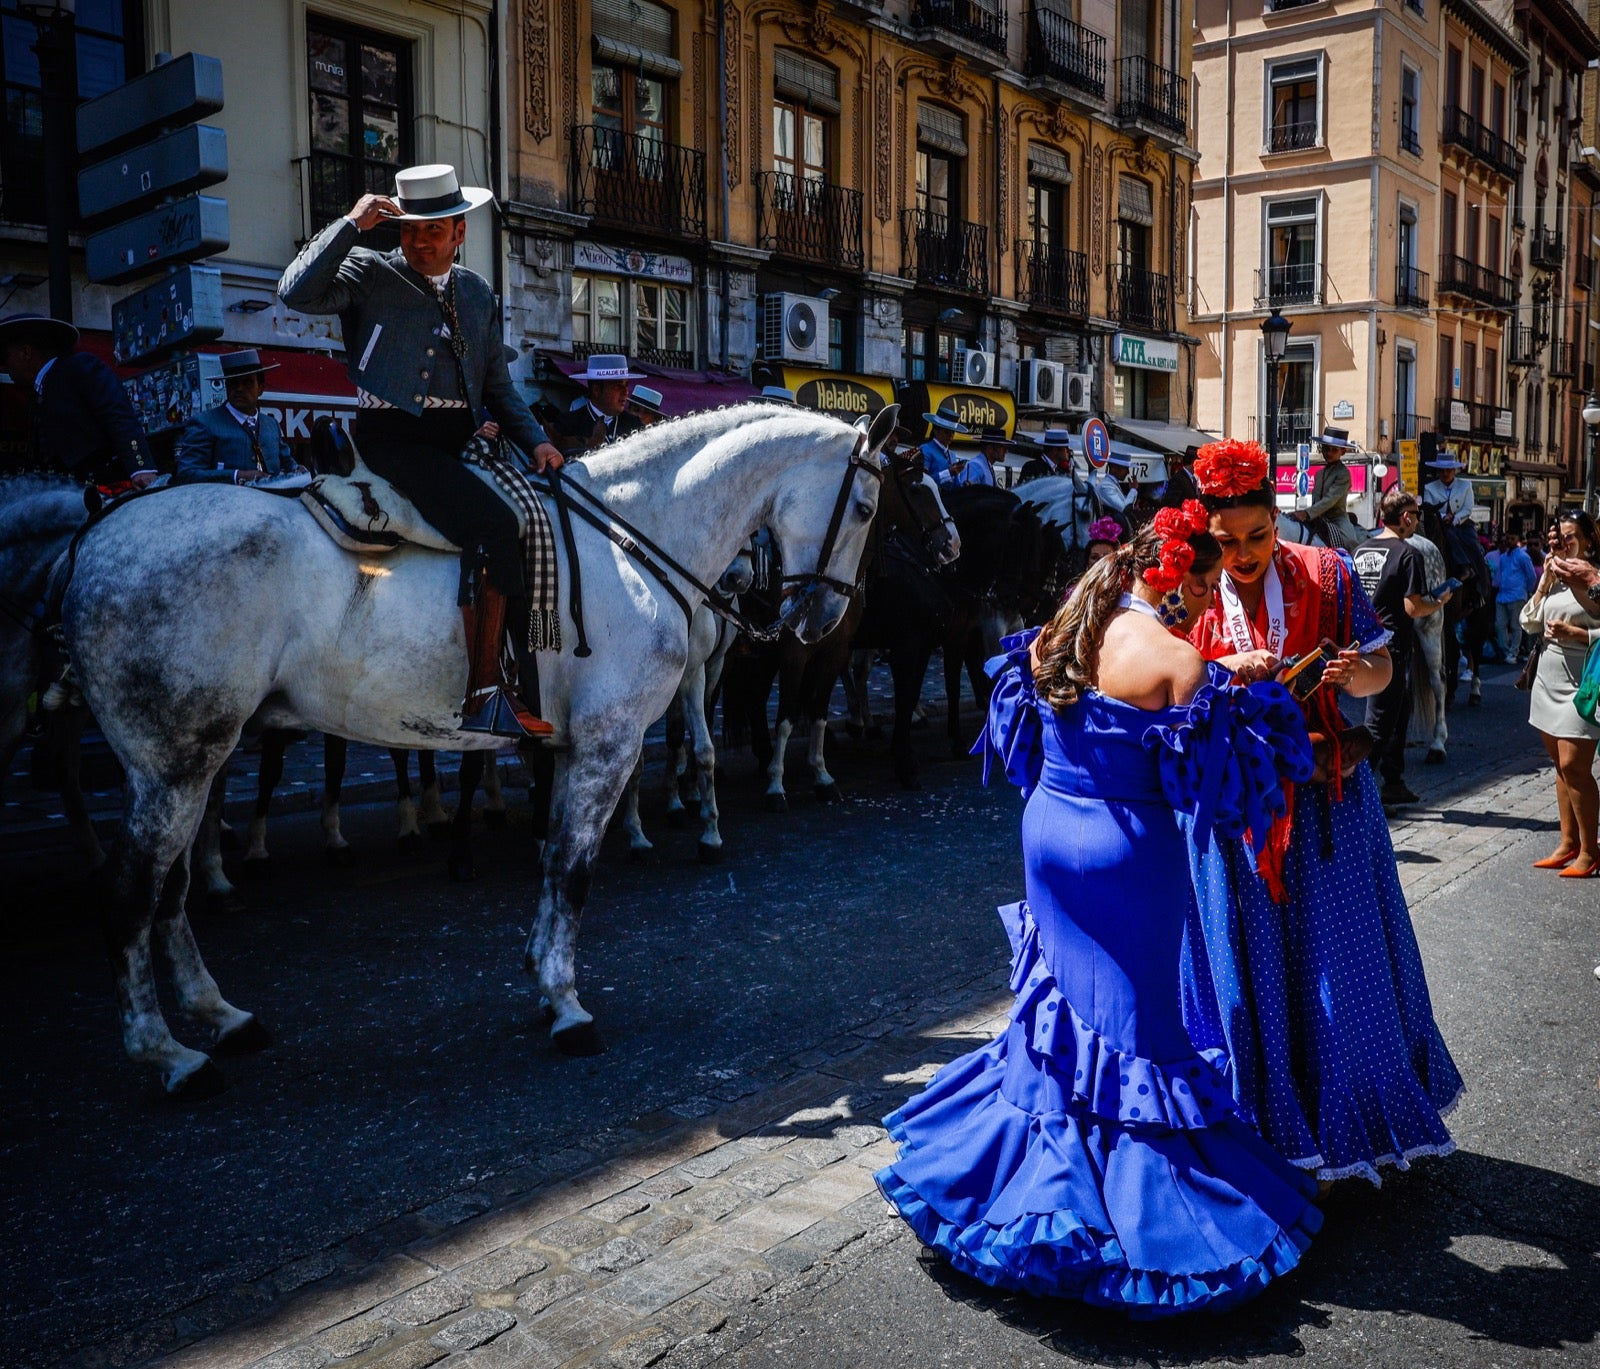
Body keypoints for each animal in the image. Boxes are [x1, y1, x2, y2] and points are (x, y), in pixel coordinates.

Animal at [62, 401, 896, 1093]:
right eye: (864, 507)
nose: (823, 620)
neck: (629, 539)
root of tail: (98, 536)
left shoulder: (573, 747)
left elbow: (555, 860)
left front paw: (543, 980)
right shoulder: (608, 742)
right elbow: (574, 870)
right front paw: (567, 1005)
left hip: (187, 762)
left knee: (169, 889)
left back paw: (220, 1016)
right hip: (176, 762)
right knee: (129, 891)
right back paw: (168, 1054)